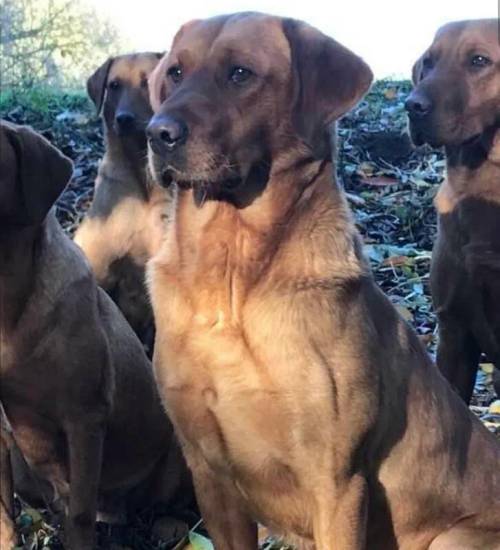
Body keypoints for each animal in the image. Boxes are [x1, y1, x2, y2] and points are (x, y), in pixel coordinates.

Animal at [146, 12, 500, 550]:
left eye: (240, 74)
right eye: (175, 73)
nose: (156, 132)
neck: (229, 280)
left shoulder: (336, 483)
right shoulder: (209, 476)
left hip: (453, 538)